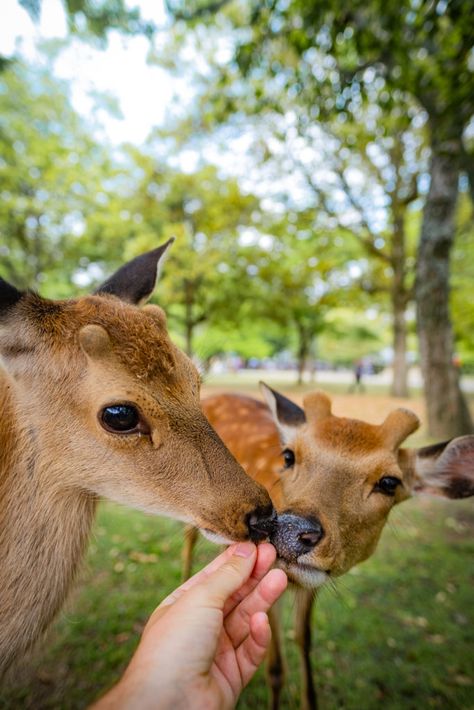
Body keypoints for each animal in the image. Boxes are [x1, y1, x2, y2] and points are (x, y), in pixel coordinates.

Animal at [181, 386, 474, 708]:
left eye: (389, 482)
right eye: (288, 456)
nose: (292, 528)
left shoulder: (310, 584)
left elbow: (304, 637)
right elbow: (275, 668)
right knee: (188, 537)